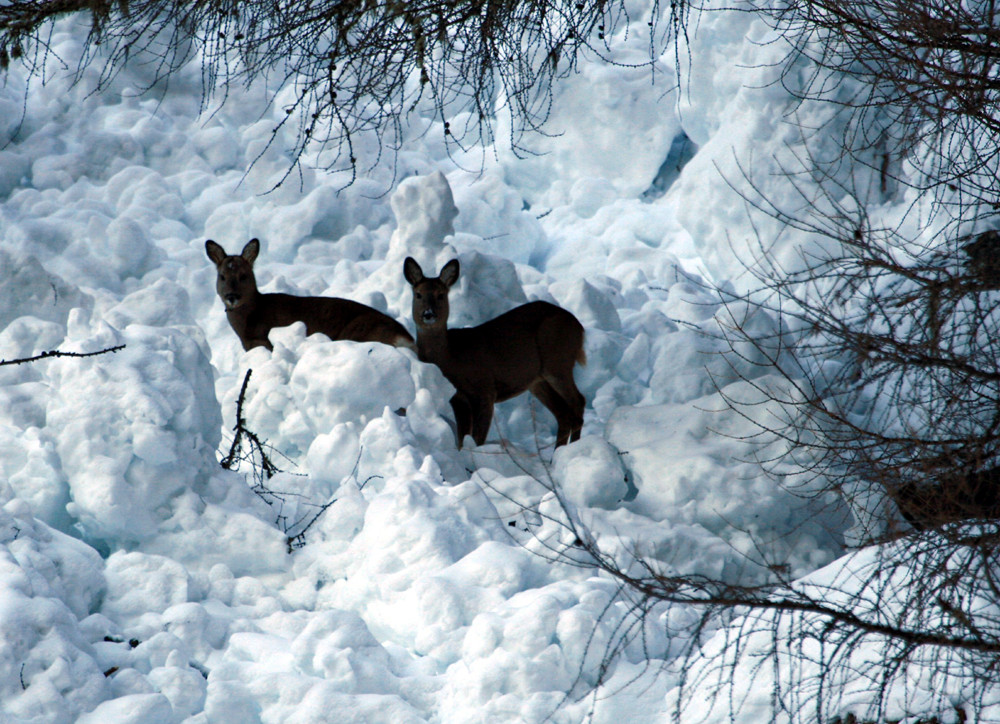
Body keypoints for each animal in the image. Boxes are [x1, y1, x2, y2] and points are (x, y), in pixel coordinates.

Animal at [207, 240, 414, 354]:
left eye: (244, 276)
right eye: (222, 276)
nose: (231, 296)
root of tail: (406, 338)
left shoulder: (265, 341)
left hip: (359, 334)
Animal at [404, 255, 584, 446]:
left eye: (441, 295)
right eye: (418, 294)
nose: (428, 314)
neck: (451, 356)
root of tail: (579, 327)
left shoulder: (484, 389)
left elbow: (477, 439)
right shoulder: (458, 399)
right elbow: (462, 440)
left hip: (558, 360)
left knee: (578, 402)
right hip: (537, 380)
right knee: (564, 414)